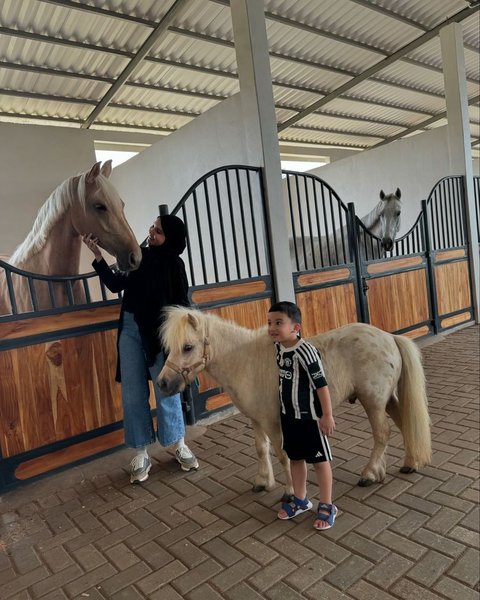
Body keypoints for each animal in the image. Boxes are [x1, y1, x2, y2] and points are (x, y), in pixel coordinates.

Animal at [157, 308, 432, 500]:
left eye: (187, 347)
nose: (162, 383)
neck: (246, 362)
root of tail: (389, 337)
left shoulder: (272, 422)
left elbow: (282, 455)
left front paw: (291, 492)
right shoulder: (256, 420)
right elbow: (261, 449)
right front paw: (262, 482)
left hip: (373, 401)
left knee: (382, 433)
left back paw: (370, 474)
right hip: (385, 400)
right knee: (404, 423)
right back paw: (408, 464)